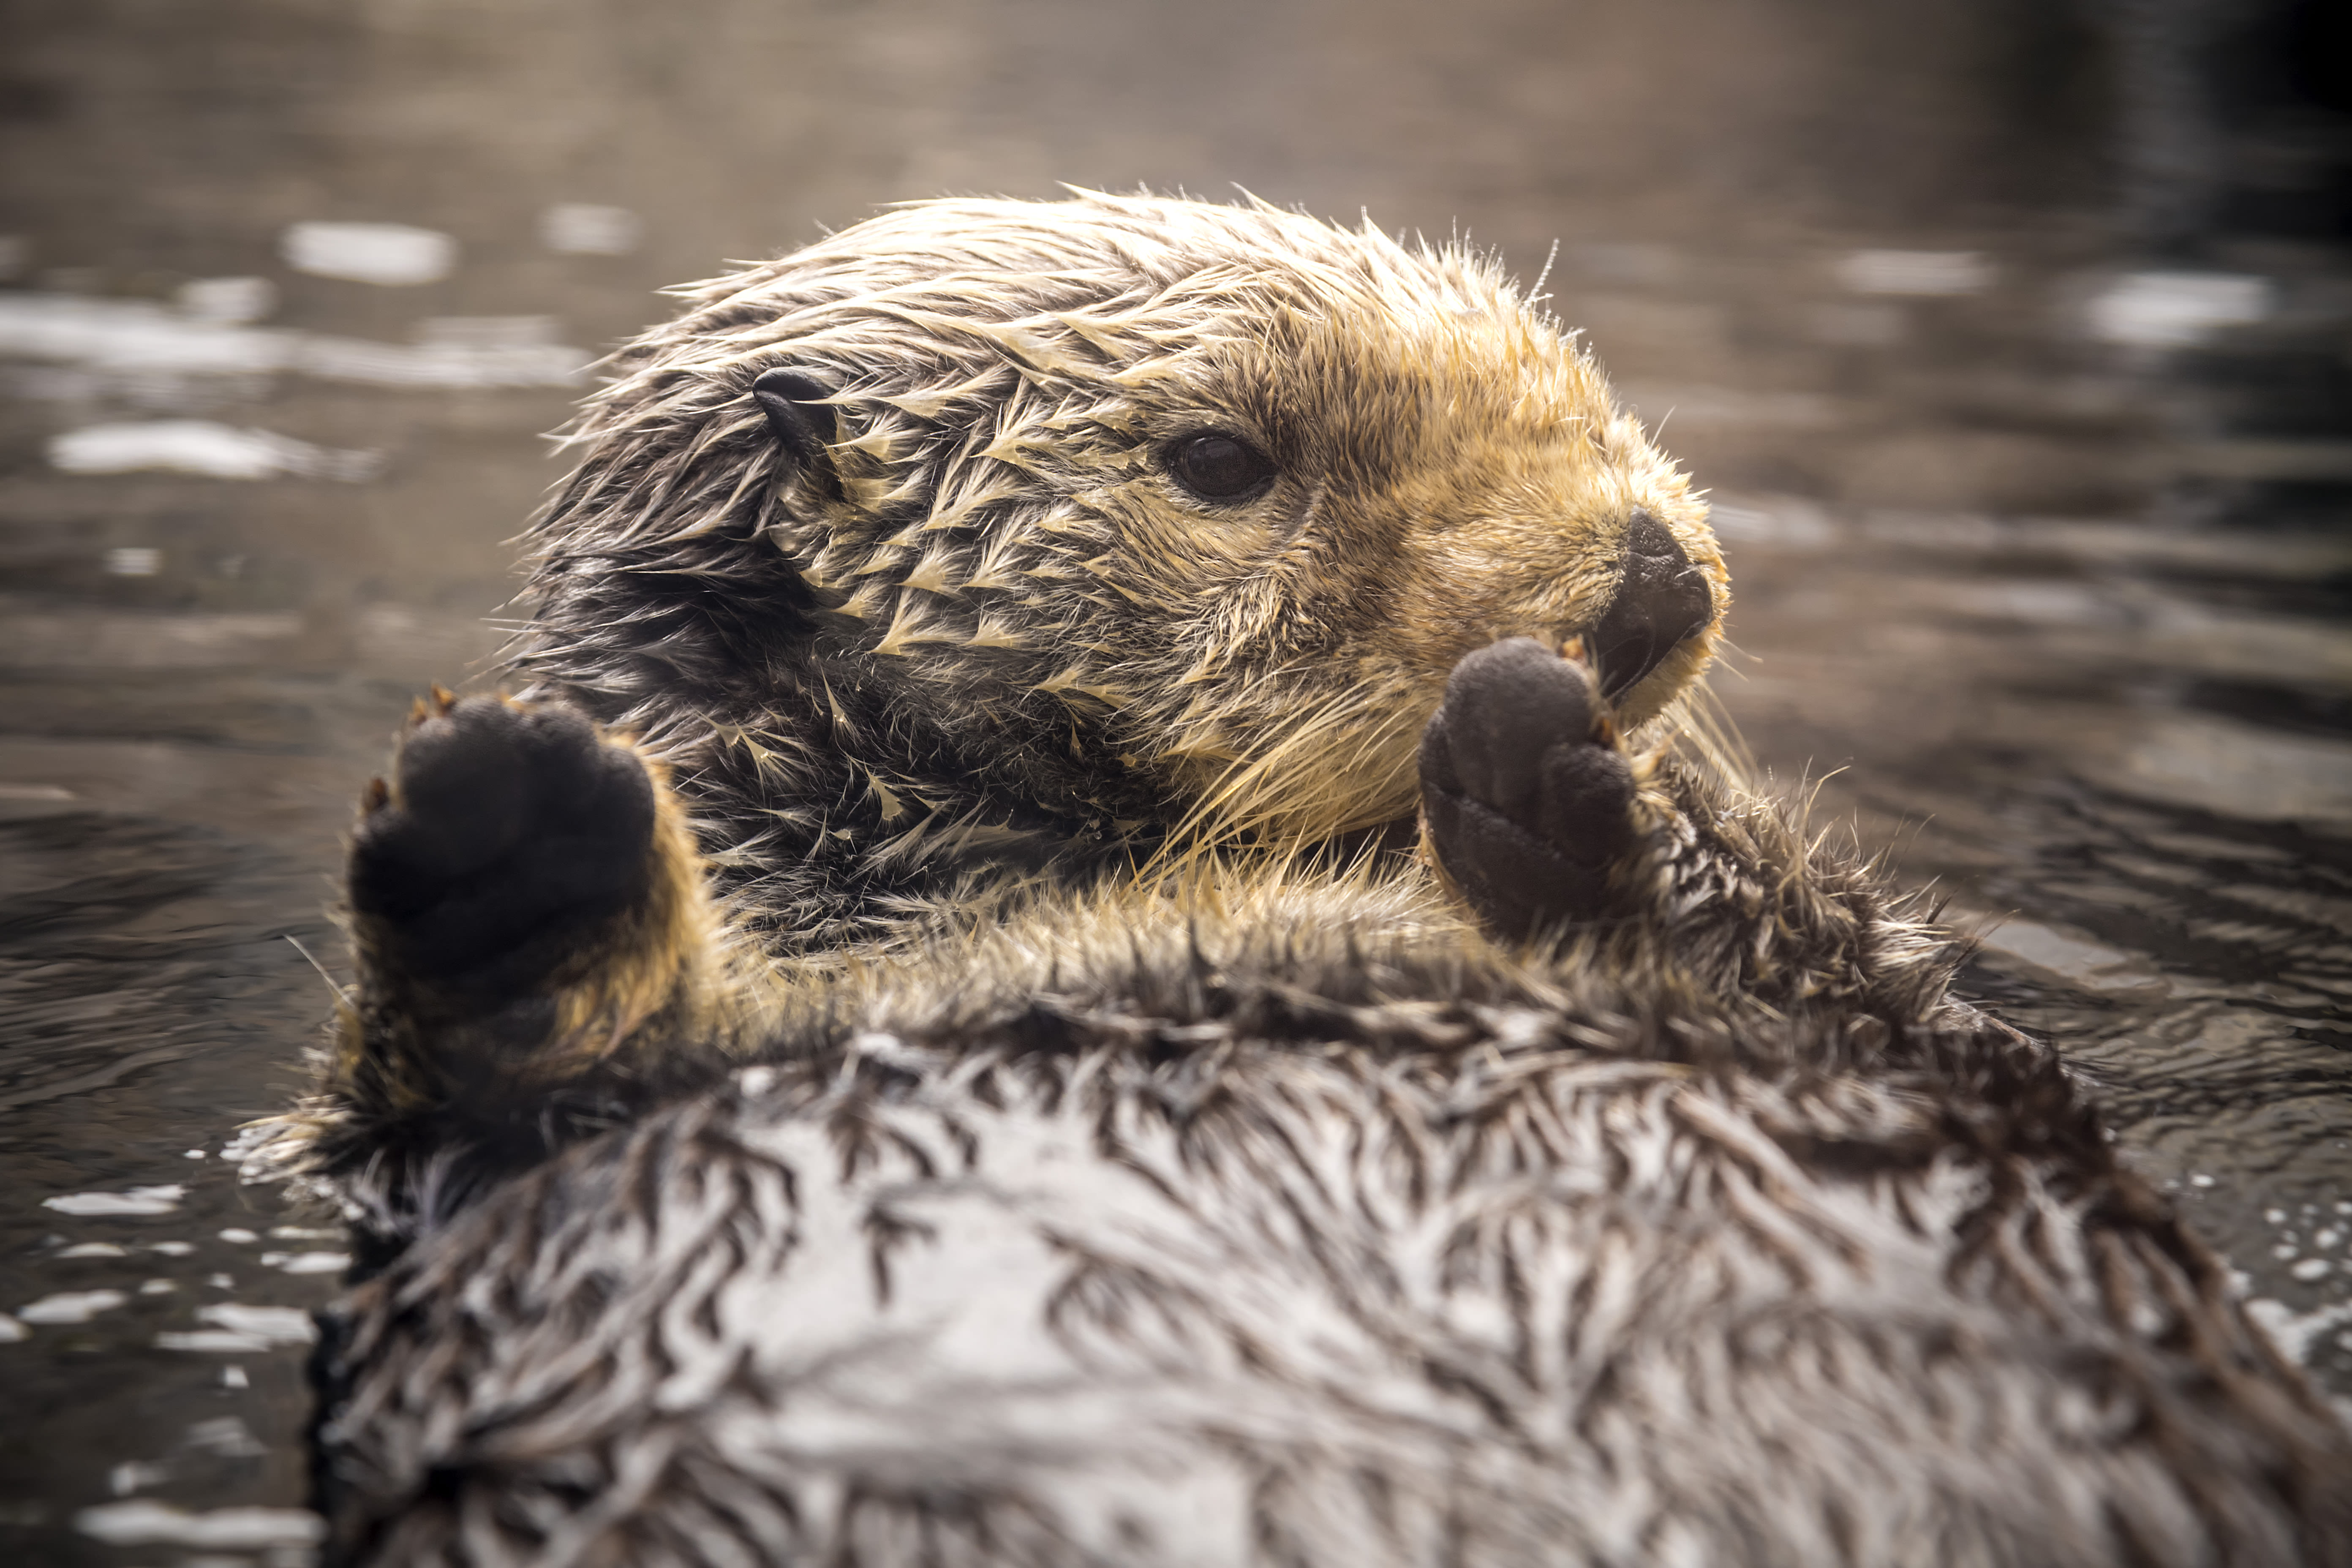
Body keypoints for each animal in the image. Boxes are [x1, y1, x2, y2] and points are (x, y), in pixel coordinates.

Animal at [248, 196, 2342, 1568]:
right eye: (1220, 459)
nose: (1647, 582)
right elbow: (417, 1116)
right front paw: (510, 826)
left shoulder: (1918, 1036)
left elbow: (1909, 1007)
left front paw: (1577, 783)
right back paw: (518, 848)